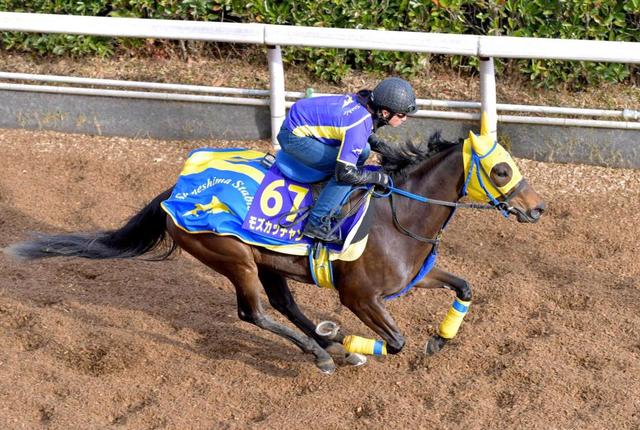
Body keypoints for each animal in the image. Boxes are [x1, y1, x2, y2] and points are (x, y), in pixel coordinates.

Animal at [3, 125, 544, 372]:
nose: (537, 208)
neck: (401, 217)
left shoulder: (413, 275)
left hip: (268, 261)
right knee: (255, 313)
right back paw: (324, 351)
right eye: (501, 170)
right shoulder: (360, 296)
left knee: (284, 304)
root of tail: (177, 190)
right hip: (232, 256)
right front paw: (353, 347)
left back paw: (323, 341)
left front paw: (440, 338)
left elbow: (465, 287)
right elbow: (395, 342)